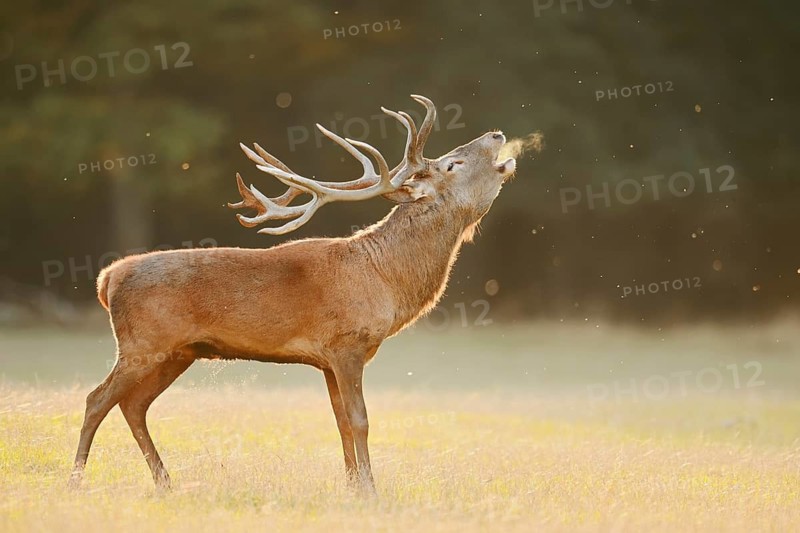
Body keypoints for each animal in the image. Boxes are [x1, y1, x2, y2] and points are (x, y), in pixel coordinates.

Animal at [68, 95, 518, 493]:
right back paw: (76, 480)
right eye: (452, 163)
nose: (497, 134)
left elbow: (340, 421)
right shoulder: (346, 344)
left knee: (134, 405)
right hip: (142, 342)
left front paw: (352, 487)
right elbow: (360, 420)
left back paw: (165, 482)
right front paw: (371, 491)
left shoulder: (328, 360)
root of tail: (107, 278)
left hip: (178, 352)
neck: (383, 279)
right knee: (96, 399)